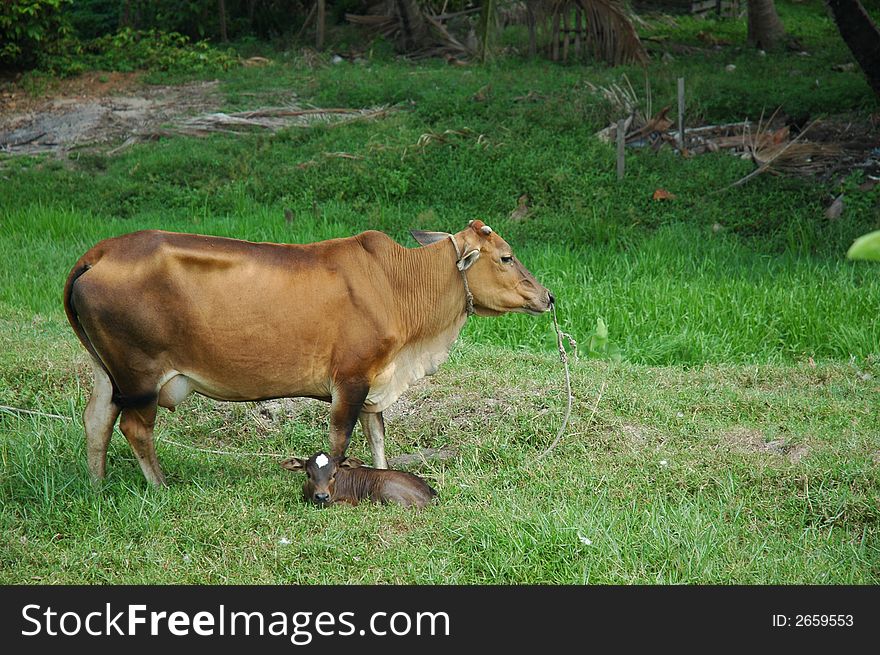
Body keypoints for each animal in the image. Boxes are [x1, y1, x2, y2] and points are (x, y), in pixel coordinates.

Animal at [65, 220, 552, 486]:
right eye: (506, 257)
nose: (548, 297)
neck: (397, 284)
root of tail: (98, 252)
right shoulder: (351, 379)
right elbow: (340, 440)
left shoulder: (376, 378)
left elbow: (377, 436)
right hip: (140, 374)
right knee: (134, 428)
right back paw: (161, 487)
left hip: (108, 371)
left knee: (96, 419)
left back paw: (98, 484)